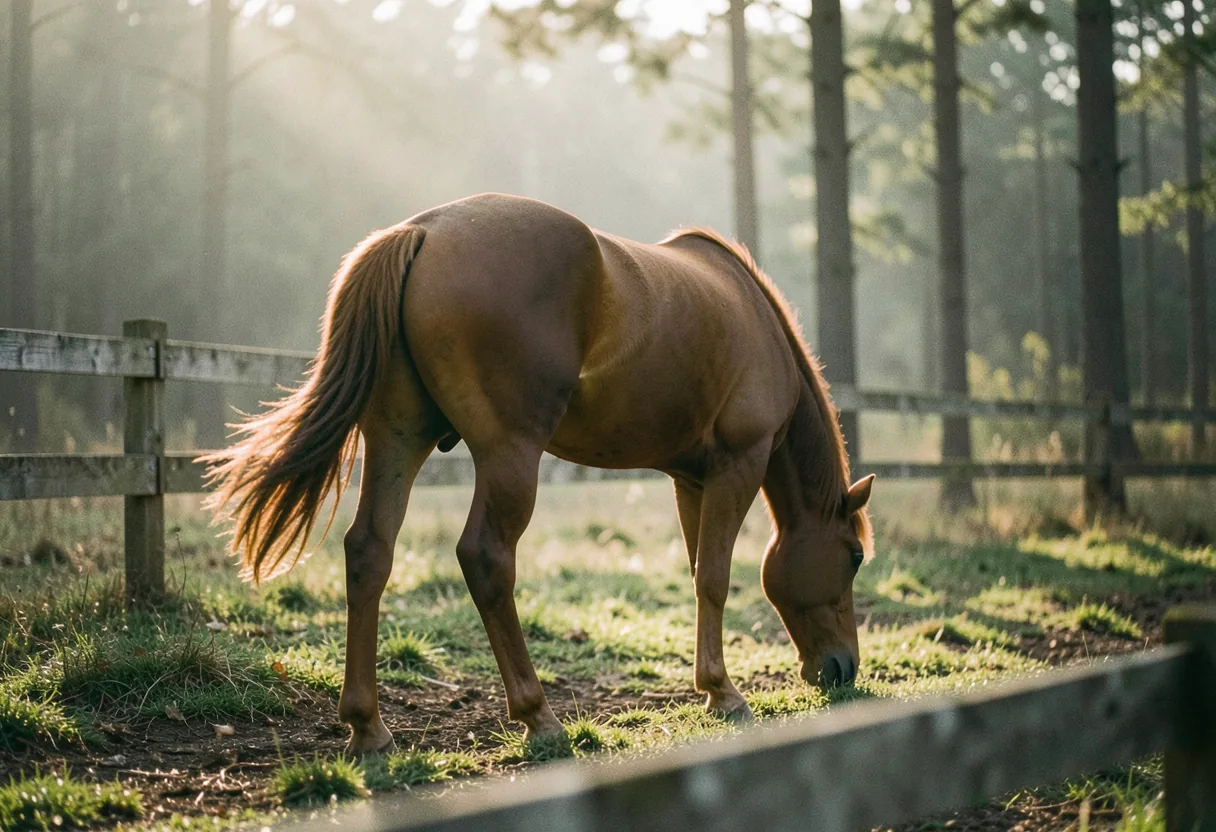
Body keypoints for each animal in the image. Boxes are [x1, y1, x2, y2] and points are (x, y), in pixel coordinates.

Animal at [202, 193, 874, 757]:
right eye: (854, 556)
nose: (843, 670)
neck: (755, 321)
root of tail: (422, 231)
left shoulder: (693, 479)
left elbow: (695, 572)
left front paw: (711, 688)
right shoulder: (739, 463)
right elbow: (713, 577)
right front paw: (725, 695)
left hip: (398, 440)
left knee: (370, 552)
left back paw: (369, 729)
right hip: (509, 456)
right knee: (486, 559)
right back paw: (538, 715)